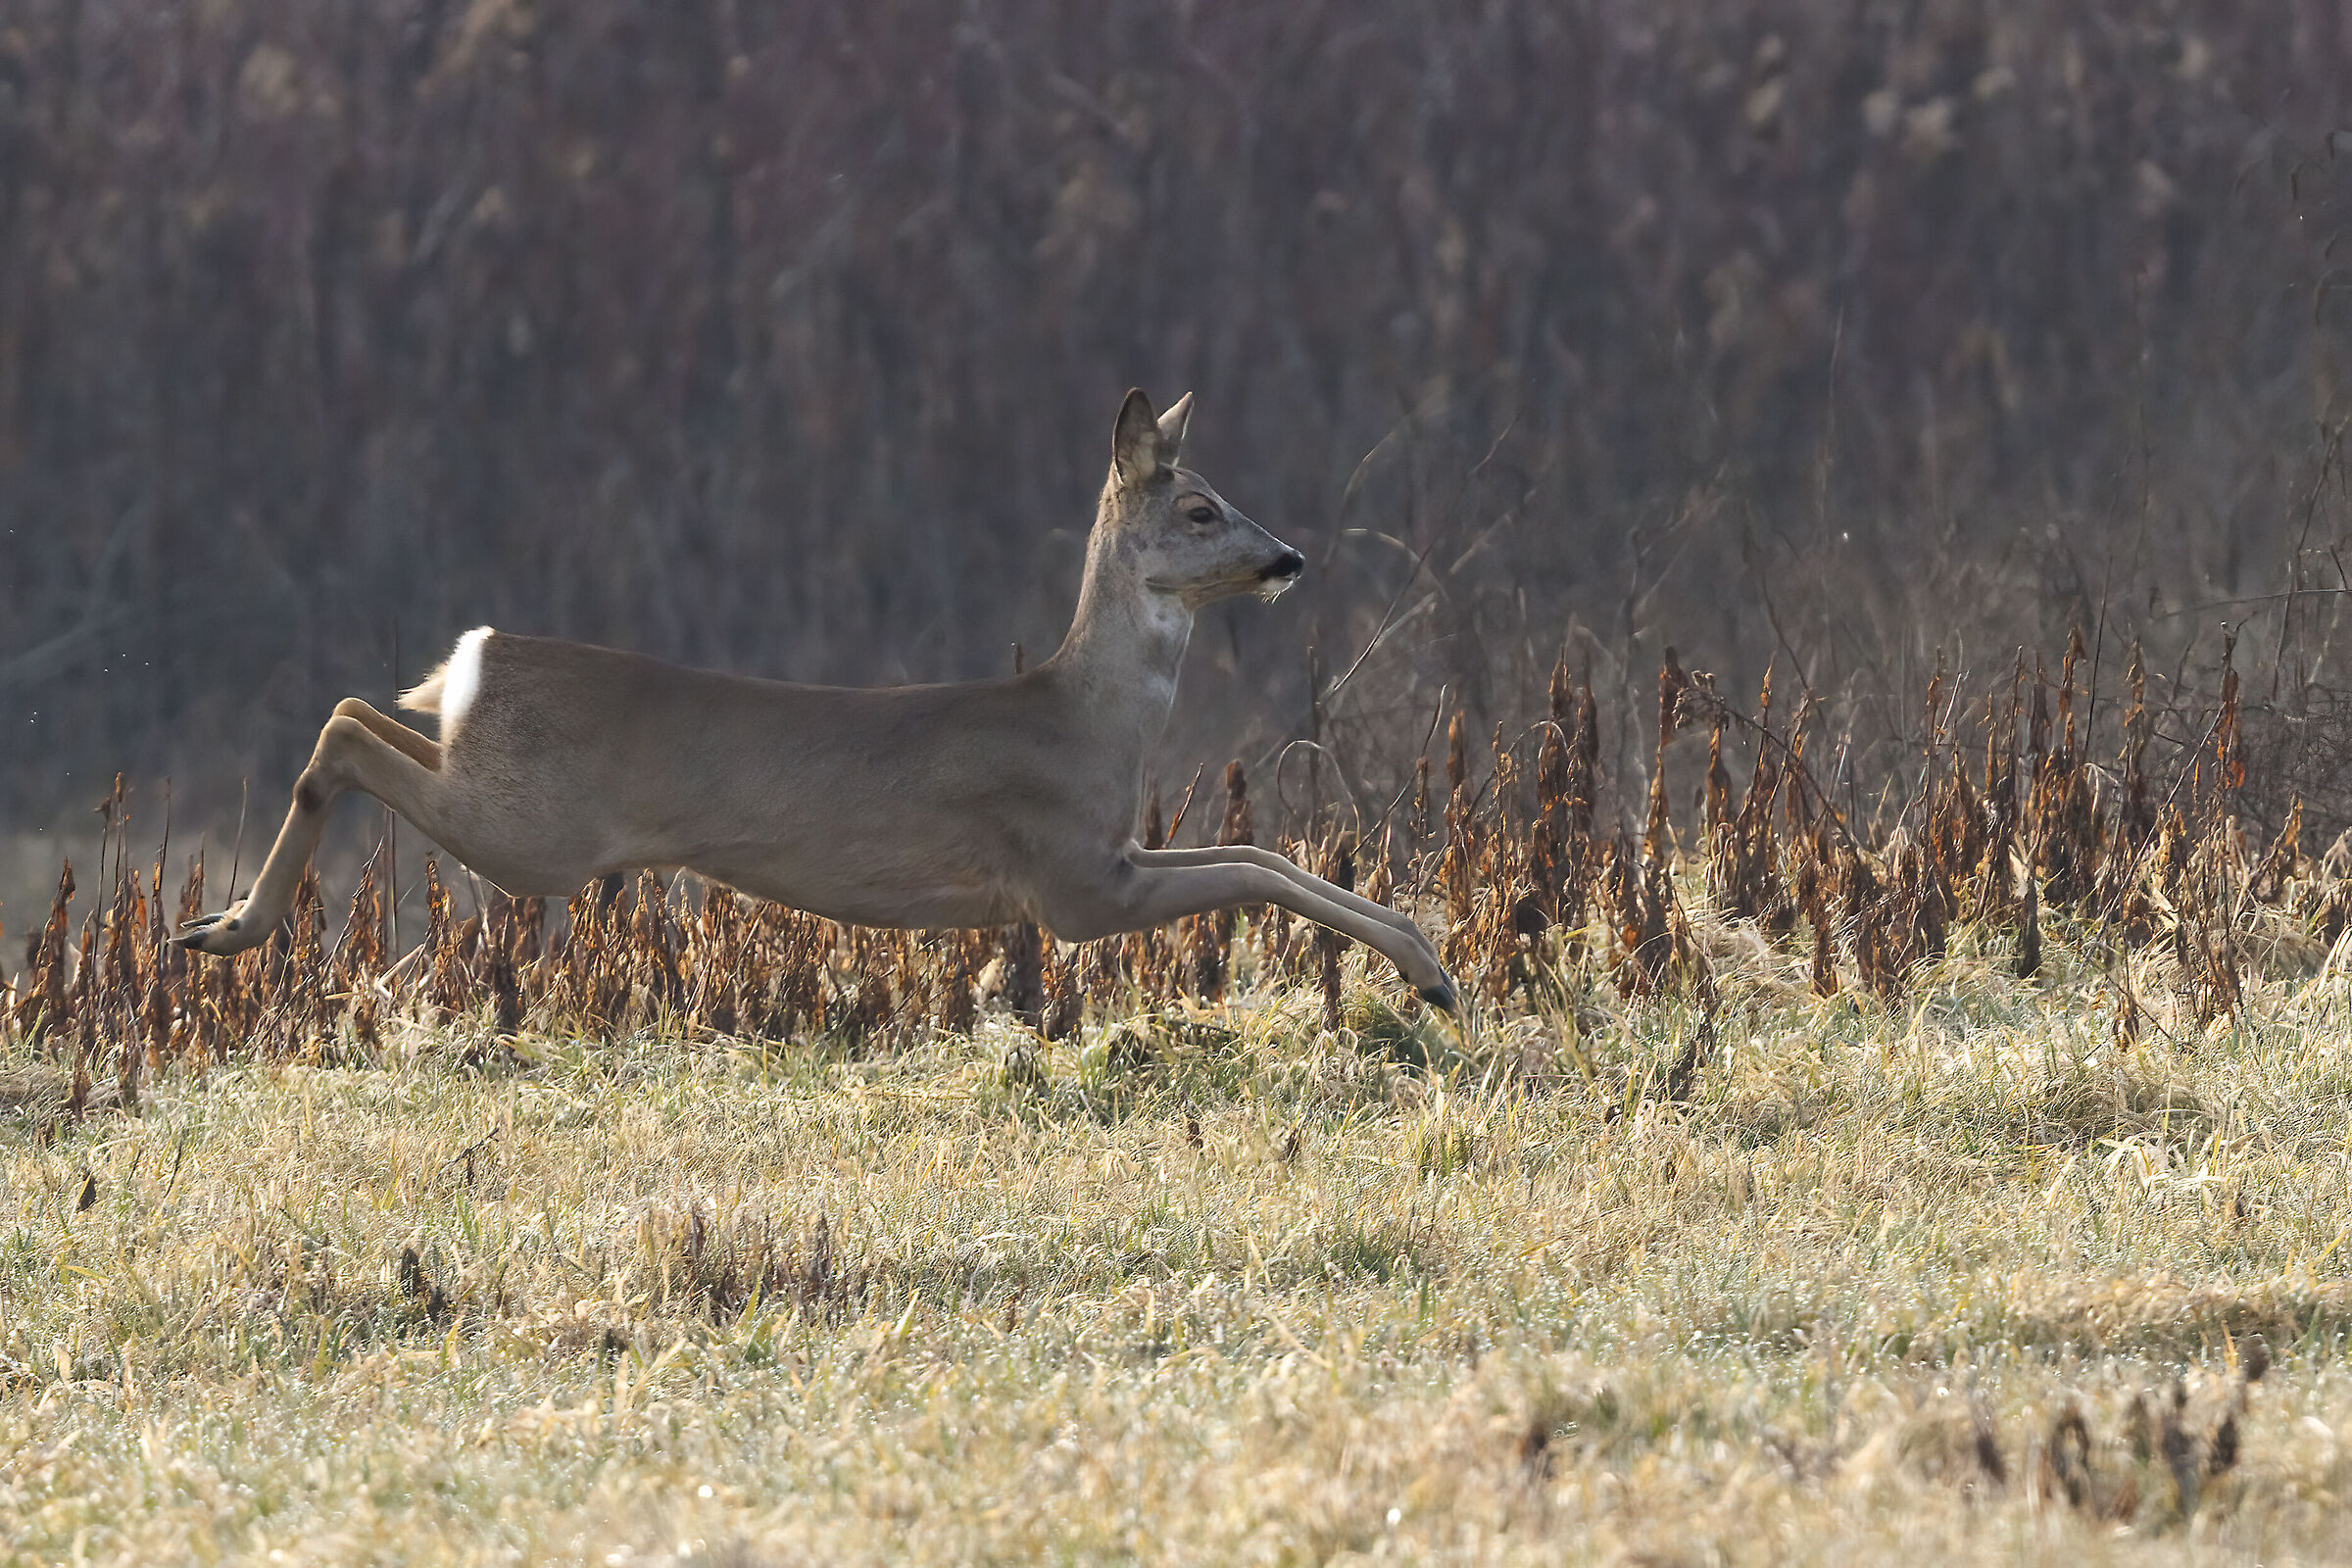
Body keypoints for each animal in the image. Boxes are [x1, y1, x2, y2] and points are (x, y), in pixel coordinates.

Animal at [171, 389, 1459, 1012]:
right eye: (1199, 508)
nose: (1288, 556)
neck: (1086, 719)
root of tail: (481, 653)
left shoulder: (1107, 855)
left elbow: (1265, 851)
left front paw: (1429, 965)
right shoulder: (1069, 882)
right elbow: (1251, 869)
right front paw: (1433, 977)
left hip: (503, 792)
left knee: (366, 716)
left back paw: (221, 922)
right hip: (538, 833)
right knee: (345, 728)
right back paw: (225, 927)